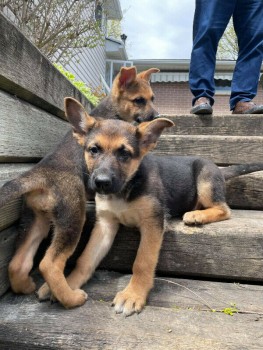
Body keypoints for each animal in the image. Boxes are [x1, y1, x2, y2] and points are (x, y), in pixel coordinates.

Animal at [0, 66, 160, 308]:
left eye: (152, 98)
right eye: (139, 100)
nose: (157, 117)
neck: (112, 110)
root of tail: (40, 174)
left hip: (36, 219)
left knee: (17, 263)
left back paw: (26, 286)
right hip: (72, 219)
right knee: (49, 264)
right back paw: (71, 298)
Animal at [63, 100, 263, 316]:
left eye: (124, 154)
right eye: (94, 150)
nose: (101, 182)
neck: (125, 188)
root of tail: (219, 168)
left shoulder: (153, 223)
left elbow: (143, 262)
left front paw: (133, 295)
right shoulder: (105, 224)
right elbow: (85, 259)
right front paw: (67, 285)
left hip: (205, 179)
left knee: (224, 209)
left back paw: (197, 215)